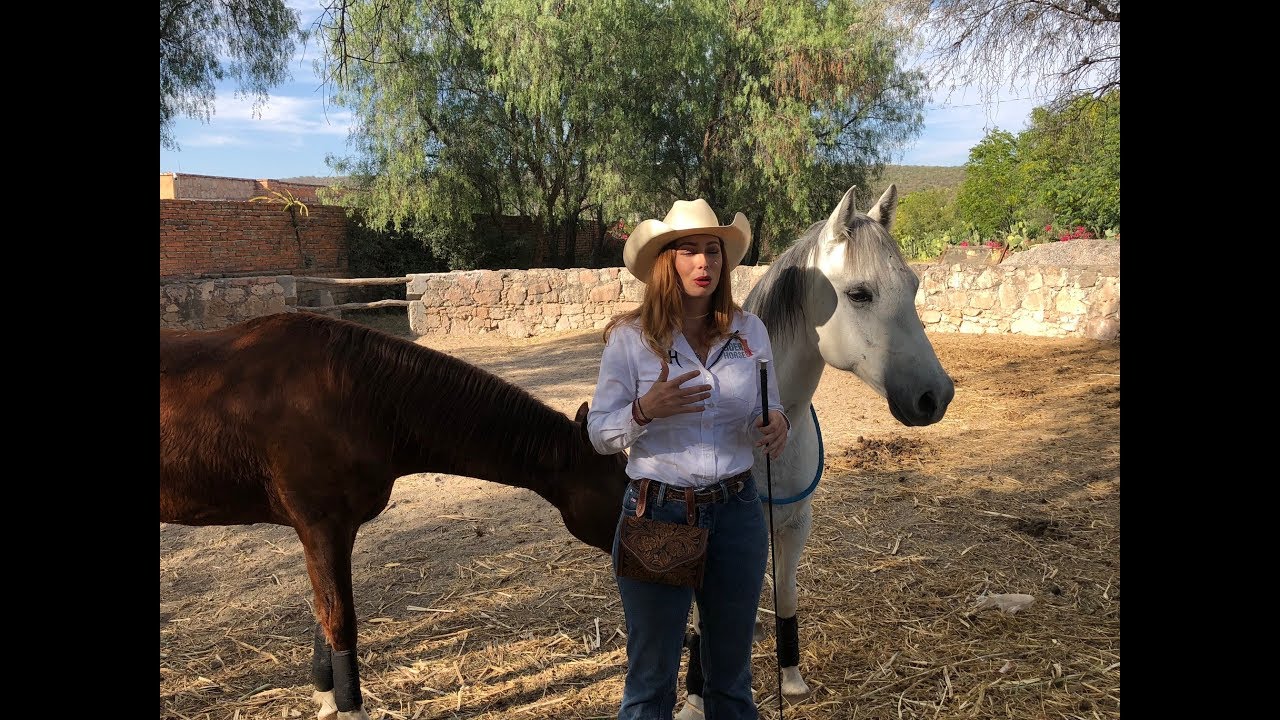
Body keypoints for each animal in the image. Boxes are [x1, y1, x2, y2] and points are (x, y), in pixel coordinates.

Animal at [160, 311, 630, 720]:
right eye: (623, 485)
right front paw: (351, 709)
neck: (356, 395)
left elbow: (324, 615)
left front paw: (327, 700)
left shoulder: (331, 533)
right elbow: (340, 619)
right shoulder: (322, 527)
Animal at [676, 184, 955, 718]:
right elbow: (702, 616)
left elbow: (785, 595)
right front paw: (696, 700)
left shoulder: (794, 524)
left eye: (912, 287)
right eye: (859, 294)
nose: (936, 396)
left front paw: (791, 677)